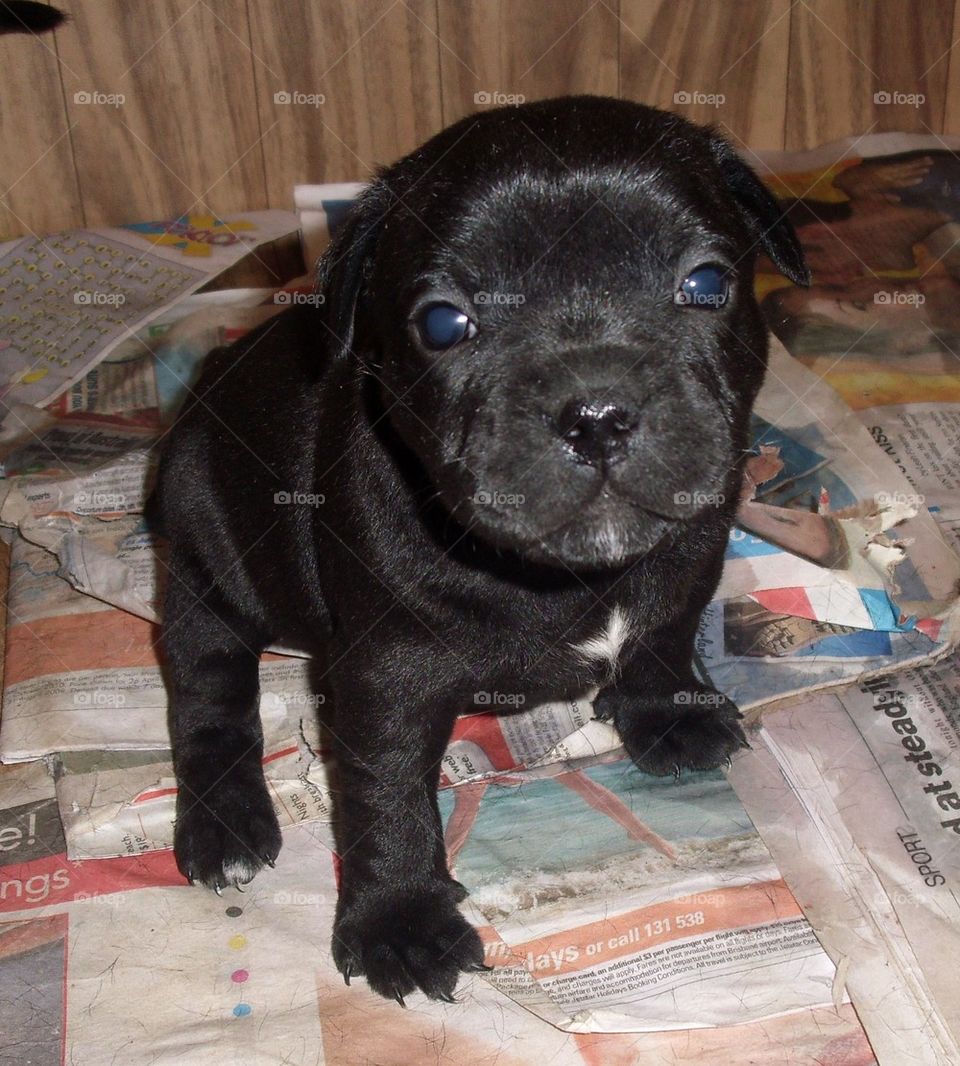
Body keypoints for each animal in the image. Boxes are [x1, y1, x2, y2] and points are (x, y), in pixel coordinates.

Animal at [153, 95, 805, 1002]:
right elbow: (387, 792)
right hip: (205, 550)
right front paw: (400, 923)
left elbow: (665, 631)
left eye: (706, 284)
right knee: (206, 683)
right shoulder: (386, 674)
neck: (567, 576)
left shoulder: (693, 551)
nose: (596, 412)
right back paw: (225, 823)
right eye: (442, 323)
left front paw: (668, 710)